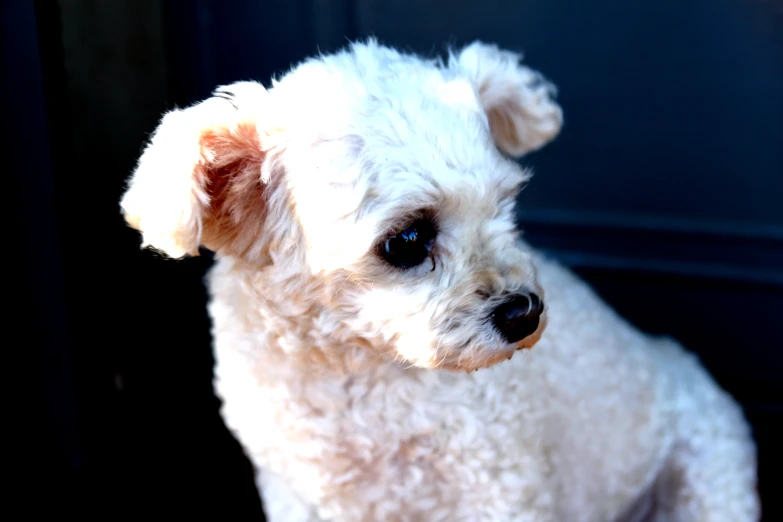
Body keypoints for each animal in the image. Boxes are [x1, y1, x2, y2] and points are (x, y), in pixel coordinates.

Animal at [121, 38, 760, 516]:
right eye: (406, 240)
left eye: (505, 206)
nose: (525, 311)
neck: (352, 374)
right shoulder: (295, 494)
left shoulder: (498, 484)